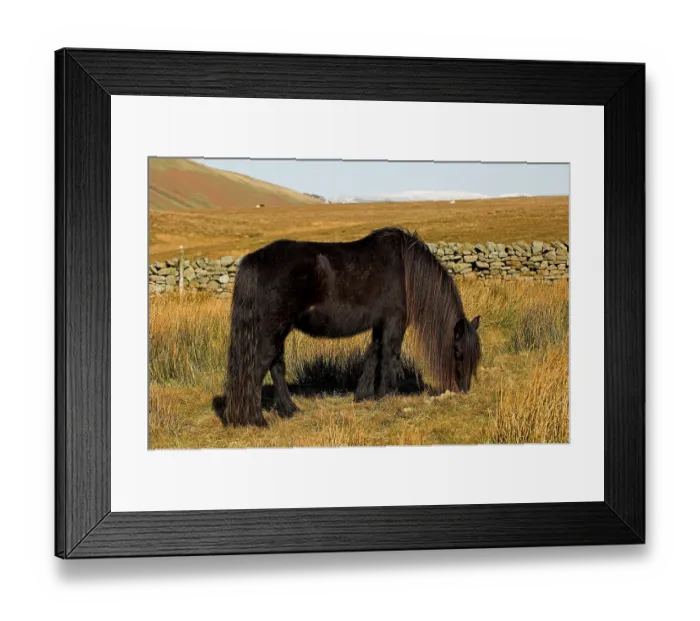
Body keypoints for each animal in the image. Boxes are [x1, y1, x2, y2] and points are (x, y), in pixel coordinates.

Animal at [216, 227, 481, 427]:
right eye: (458, 352)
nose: (465, 389)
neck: (405, 269)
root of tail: (254, 259)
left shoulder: (379, 324)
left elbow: (373, 354)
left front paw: (364, 395)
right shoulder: (394, 322)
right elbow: (389, 356)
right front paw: (386, 395)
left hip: (277, 331)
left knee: (276, 366)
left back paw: (290, 410)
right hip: (272, 329)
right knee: (257, 368)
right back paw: (255, 419)